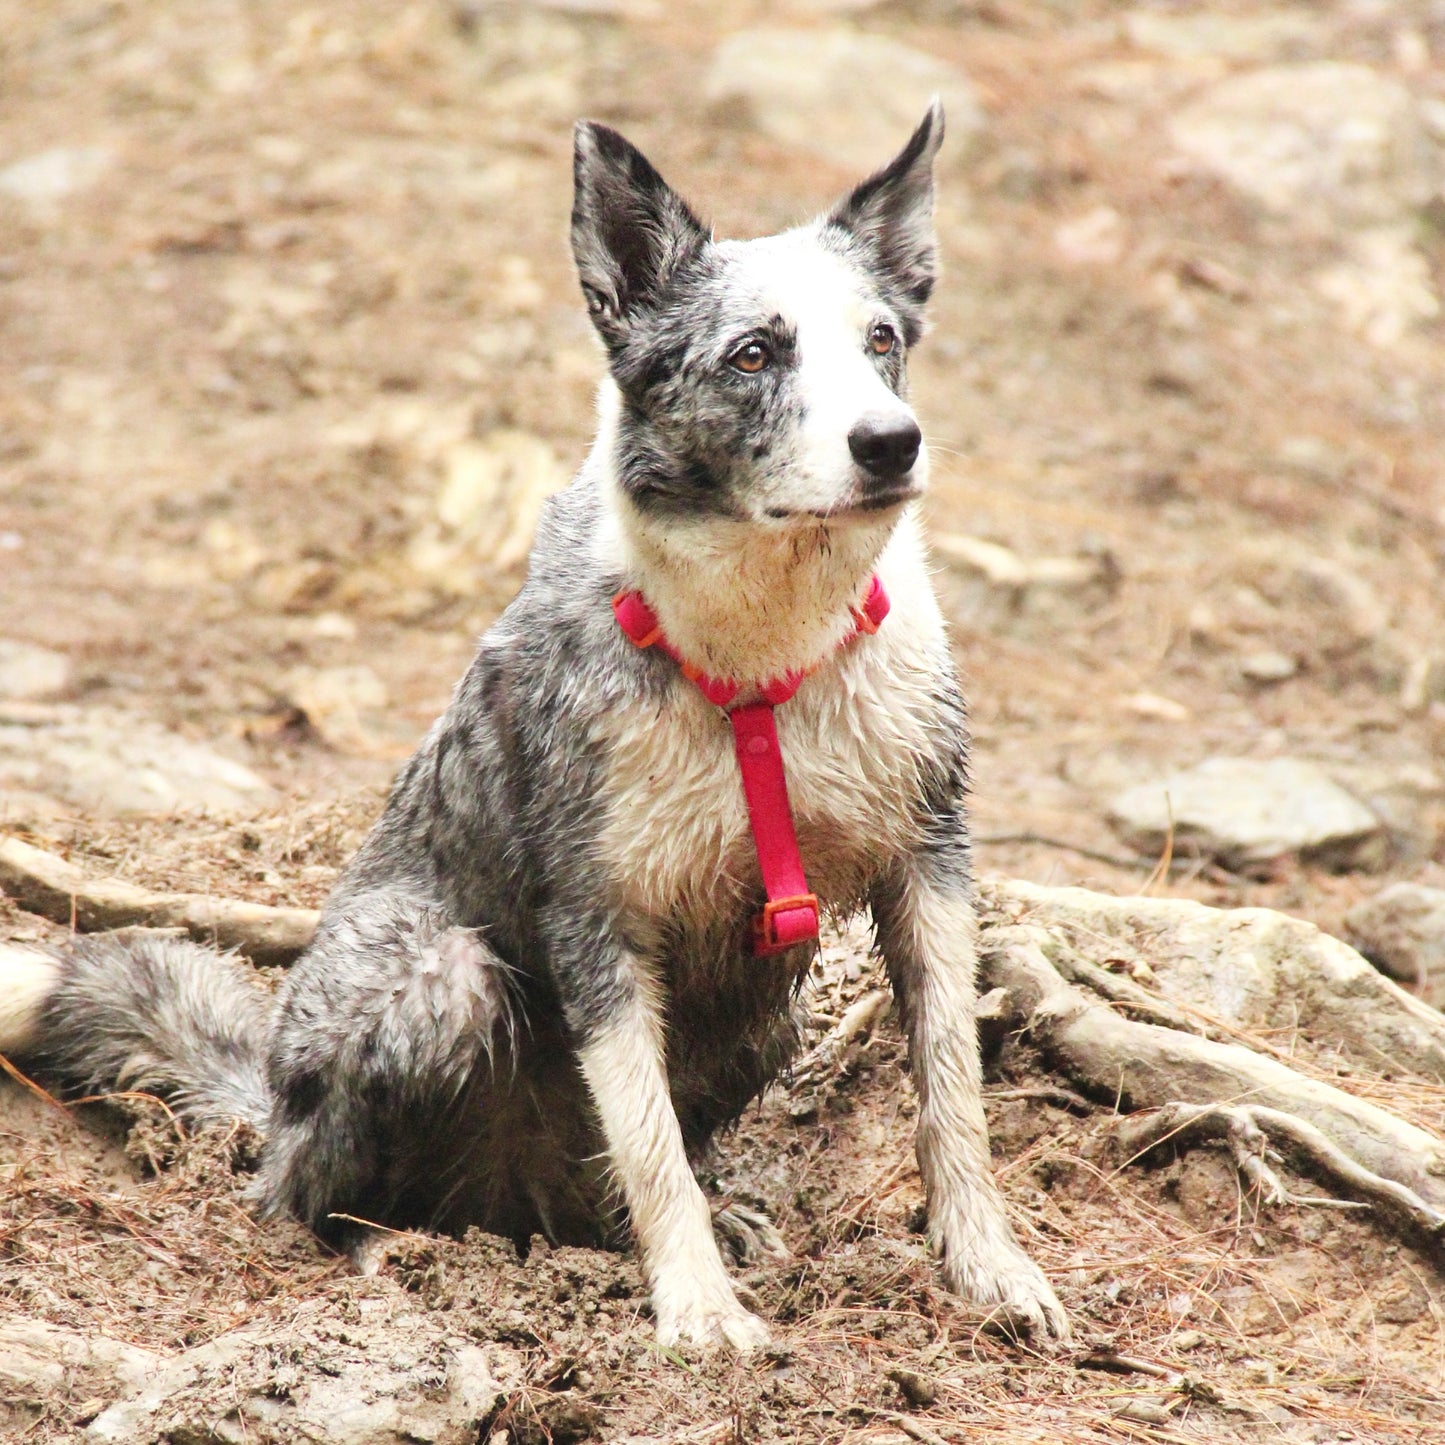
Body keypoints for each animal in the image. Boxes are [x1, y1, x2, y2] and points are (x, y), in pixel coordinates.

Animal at [0, 104, 1069, 1352]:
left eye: (883, 340)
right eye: (753, 353)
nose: (891, 442)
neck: (756, 659)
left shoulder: (928, 867)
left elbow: (951, 1095)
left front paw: (987, 1268)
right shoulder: (595, 921)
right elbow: (647, 1143)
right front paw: (700, 1312)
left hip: (764, 1011)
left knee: (608, 1180)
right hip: (435, 980)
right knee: (309, 1190)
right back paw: (391, 1248)